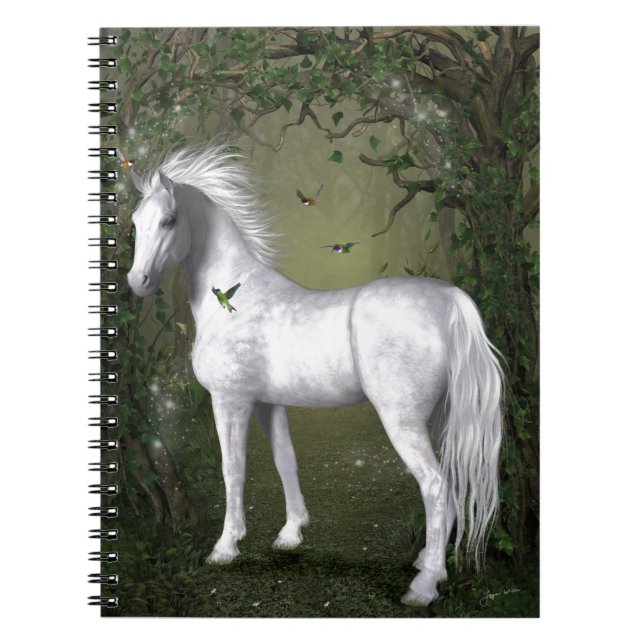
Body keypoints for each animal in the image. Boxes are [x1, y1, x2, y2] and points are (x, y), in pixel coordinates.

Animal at [126, 142, 503, 606]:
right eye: (135, 222)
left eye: (168, 220)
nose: (138, 281)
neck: (234, 297)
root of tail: (448, 300)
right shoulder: (268, 403)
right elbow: (286, 461)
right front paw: (291, 533)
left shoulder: (230, 400)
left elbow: (233, 469)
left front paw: (225, 547)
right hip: (438, 417)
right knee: (448, 488)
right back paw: (426, 565)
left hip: (403, 420)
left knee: (434, 486)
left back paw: (424, 586)